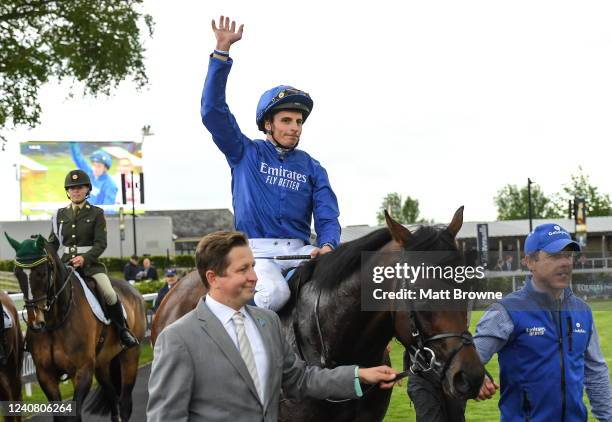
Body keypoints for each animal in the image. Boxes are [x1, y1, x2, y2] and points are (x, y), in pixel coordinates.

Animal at [5, 234, 146, 422]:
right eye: (17, 273)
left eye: (42, 273)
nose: (36, 322)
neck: (56, 322)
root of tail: (134, 291)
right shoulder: (45, 375)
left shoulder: (82, 371)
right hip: (102, 364)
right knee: (112, 399)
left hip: (130, 356)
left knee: (124, 404)